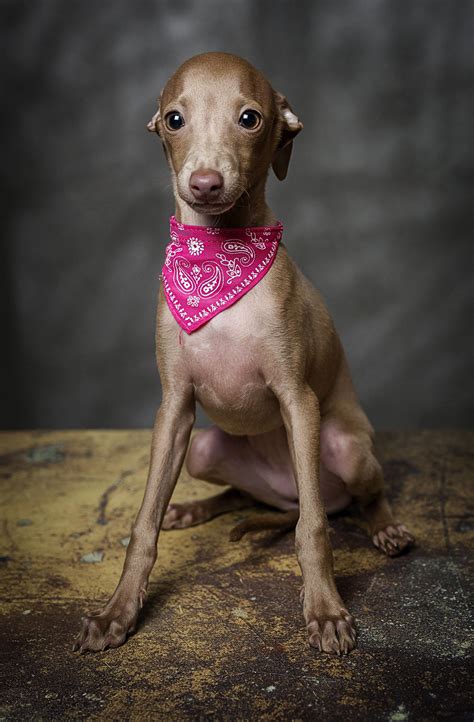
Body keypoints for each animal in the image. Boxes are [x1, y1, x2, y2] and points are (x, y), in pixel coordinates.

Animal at [72, 53, 412, 656]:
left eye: (249, 118)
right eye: (175, 119)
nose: (205, 184)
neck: (216, 256)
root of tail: (285, 492)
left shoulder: (298, 400)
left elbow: (312, 530)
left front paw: (325, 612)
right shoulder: (174, 407)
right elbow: (143, 524)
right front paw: (118, 612)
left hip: (345, 449)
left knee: (346, 502)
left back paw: (384, 528)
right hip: (206, 450)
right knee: (243, 494)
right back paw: (192, 508)